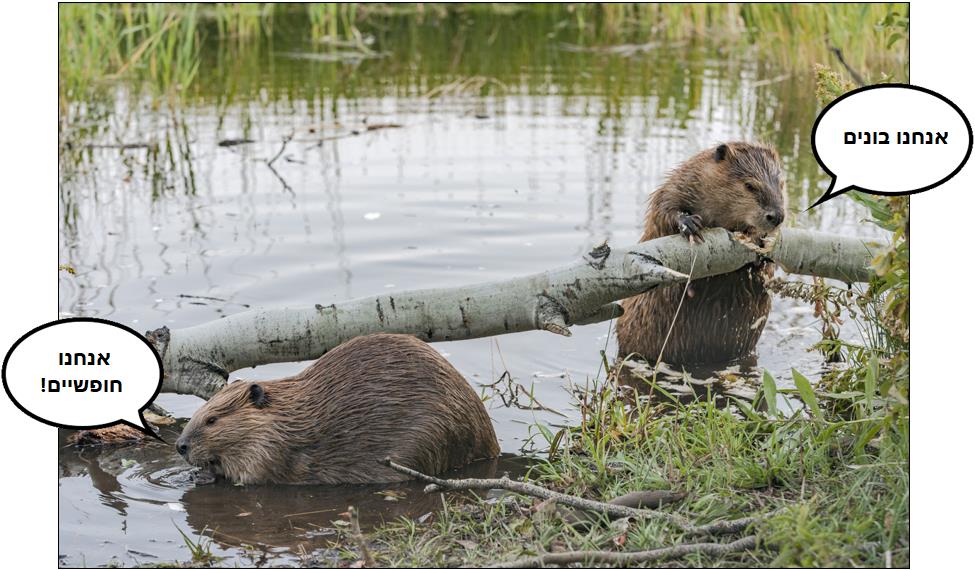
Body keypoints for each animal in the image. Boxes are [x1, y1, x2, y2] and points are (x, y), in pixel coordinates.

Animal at [173, 330, 504, 482]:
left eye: (212, 420)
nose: (180, 446)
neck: (286, 420)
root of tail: (491, 442)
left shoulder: (271, 451)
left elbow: (254, 476)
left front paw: (203, 475)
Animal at [616, 142, 784, 364]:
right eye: (749, 185)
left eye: (781, 183)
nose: (777, 216)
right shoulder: (681, 182)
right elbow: (663, 209)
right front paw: (689, 223)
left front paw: (760, 244)